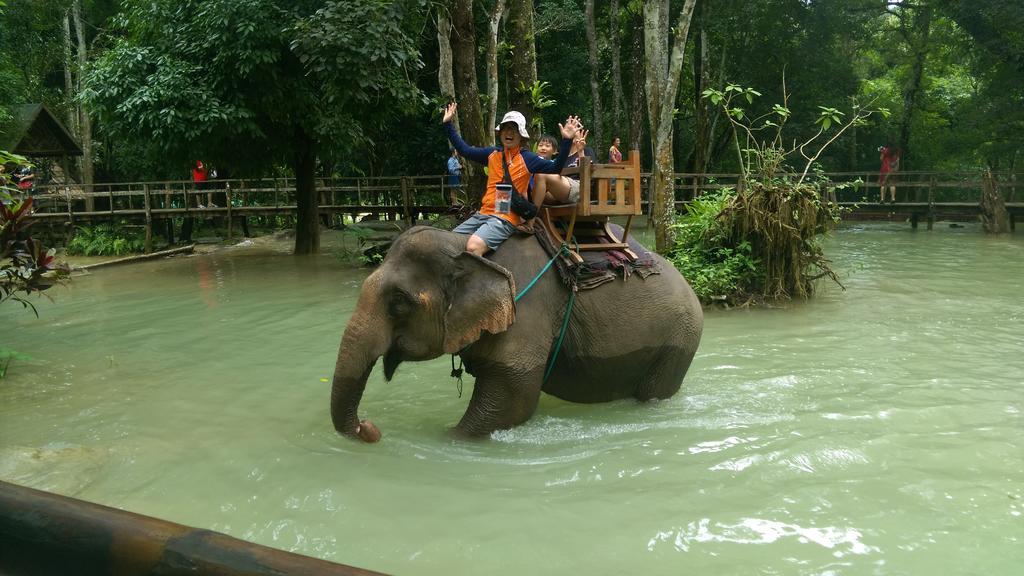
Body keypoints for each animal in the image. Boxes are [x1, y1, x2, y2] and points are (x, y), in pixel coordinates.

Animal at [329, 225, 704, 438]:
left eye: (398, 301)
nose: (368, 427)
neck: (465, 245)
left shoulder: (527, 307)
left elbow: (511, 400)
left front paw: (444, 439)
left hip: (679, 340)